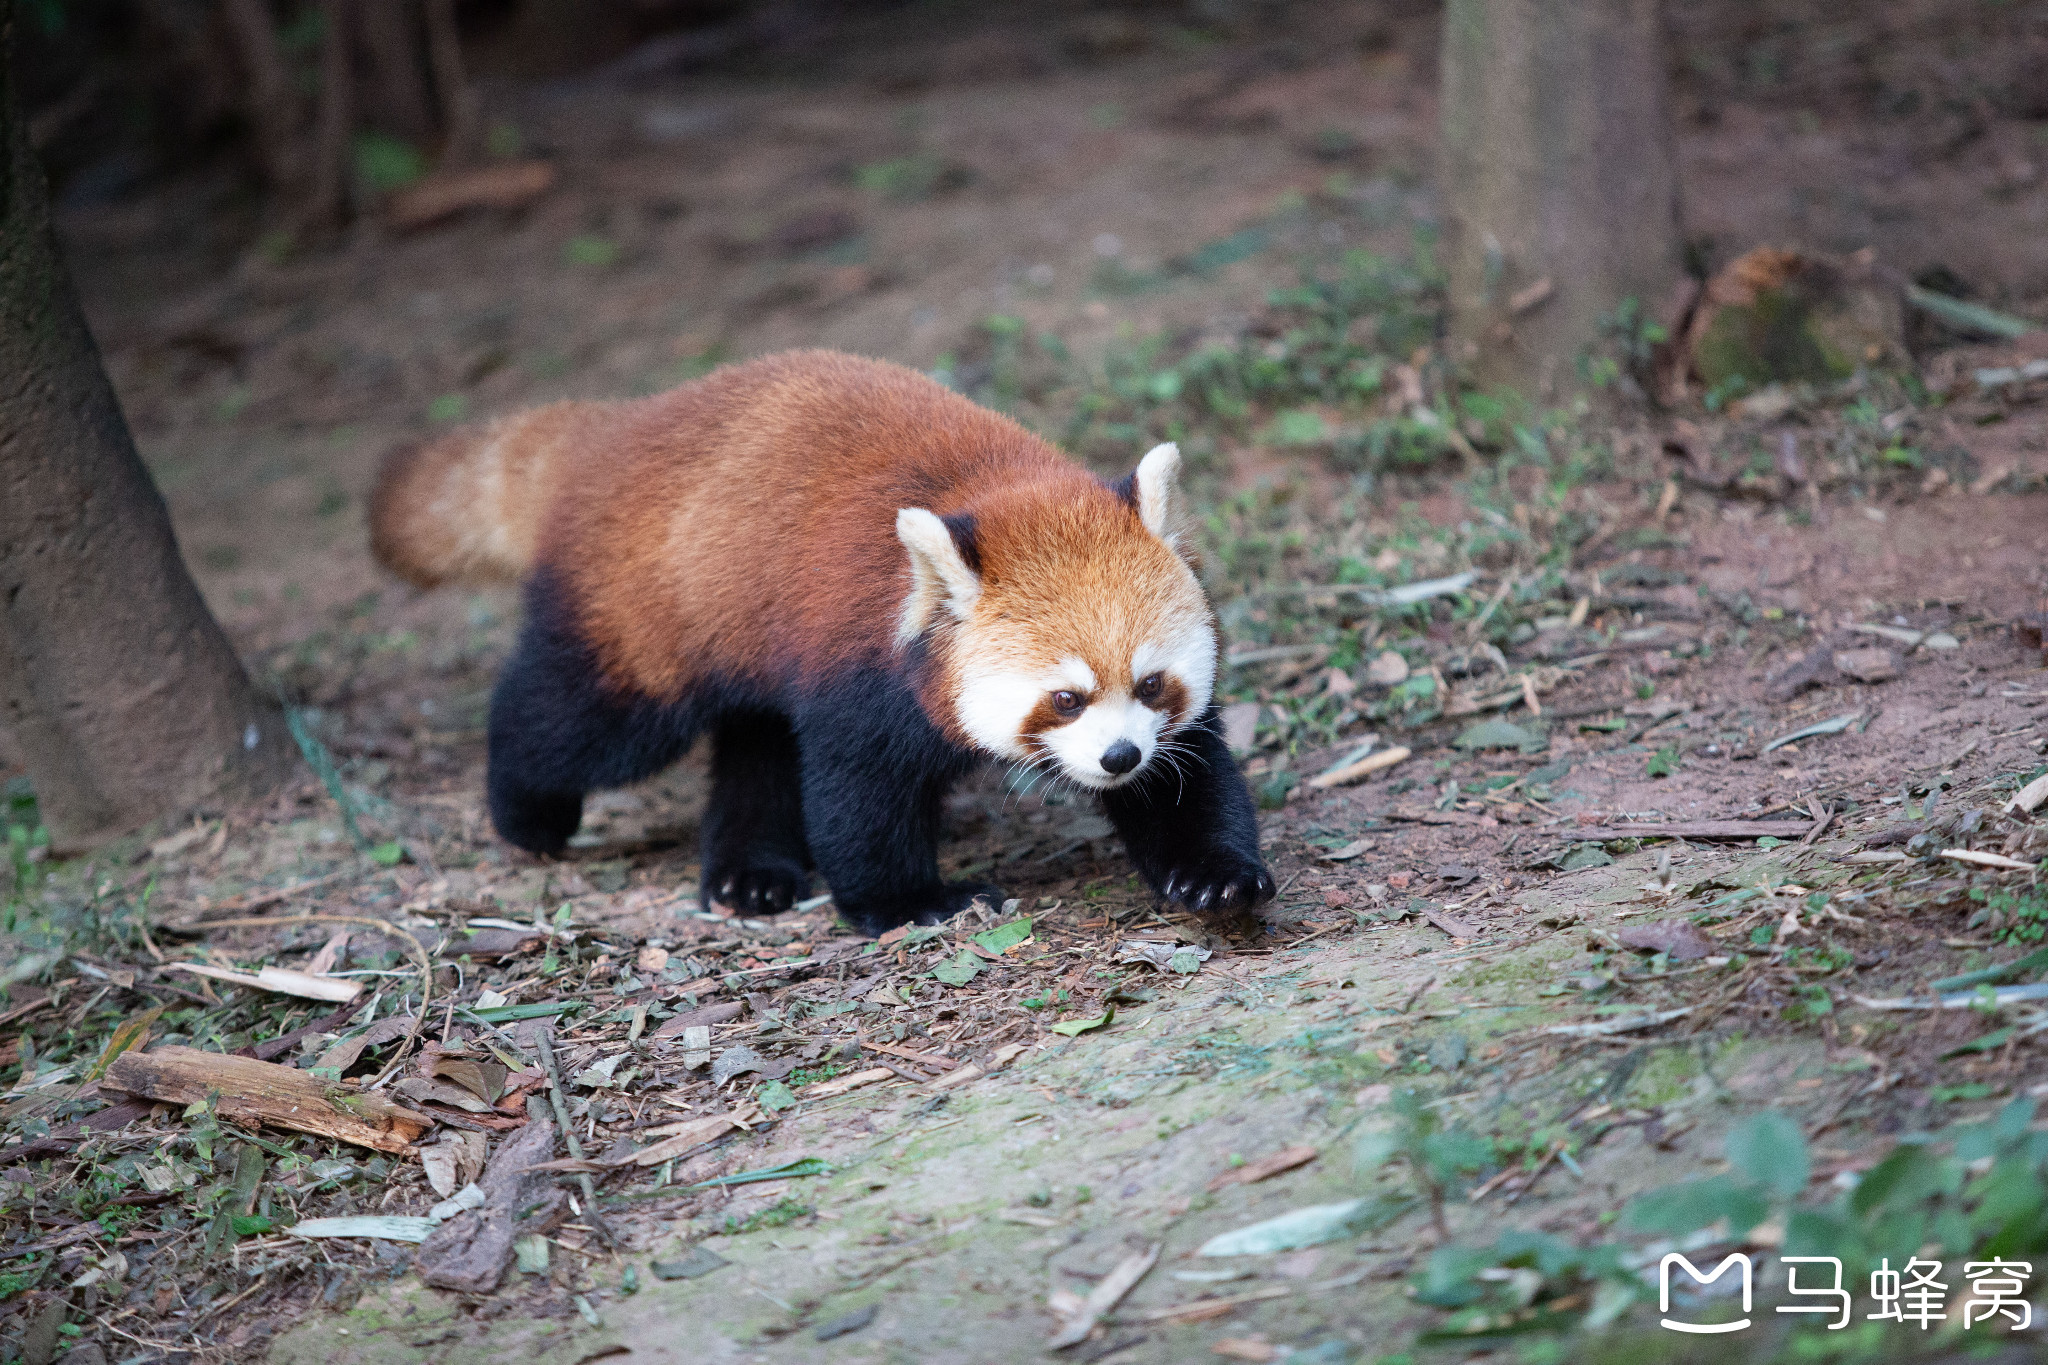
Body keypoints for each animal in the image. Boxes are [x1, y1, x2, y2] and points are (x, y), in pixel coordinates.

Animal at [368, 349, 1261, 941]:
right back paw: (526, 812)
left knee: (756, 744)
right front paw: (910, 902)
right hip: (647, 620)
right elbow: (859, 799)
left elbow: (1186, 782)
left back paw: (750, 873)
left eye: (1151, 684)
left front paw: (1212, 876)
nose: (1118, 757)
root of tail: (615, 429)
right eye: (1065, 697)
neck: (1002, 491)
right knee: (580, 723)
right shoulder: (858, 667)